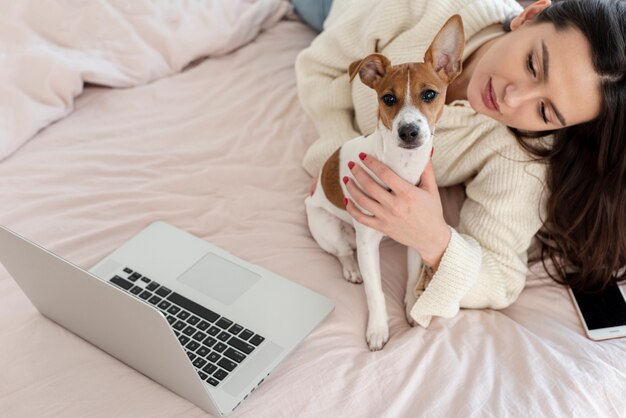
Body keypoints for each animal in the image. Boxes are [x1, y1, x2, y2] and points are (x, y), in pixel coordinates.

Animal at [304, 15, 464, 350]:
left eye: (429, 94)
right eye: (388, 99)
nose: (408, 131)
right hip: (326, 226)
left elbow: (412, 277)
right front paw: (378, 329)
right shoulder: (367, 245)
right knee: (342, 252)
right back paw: (351, 269)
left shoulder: (417, 237)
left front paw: (411, 309)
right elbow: (375, 292)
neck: (401, 166)